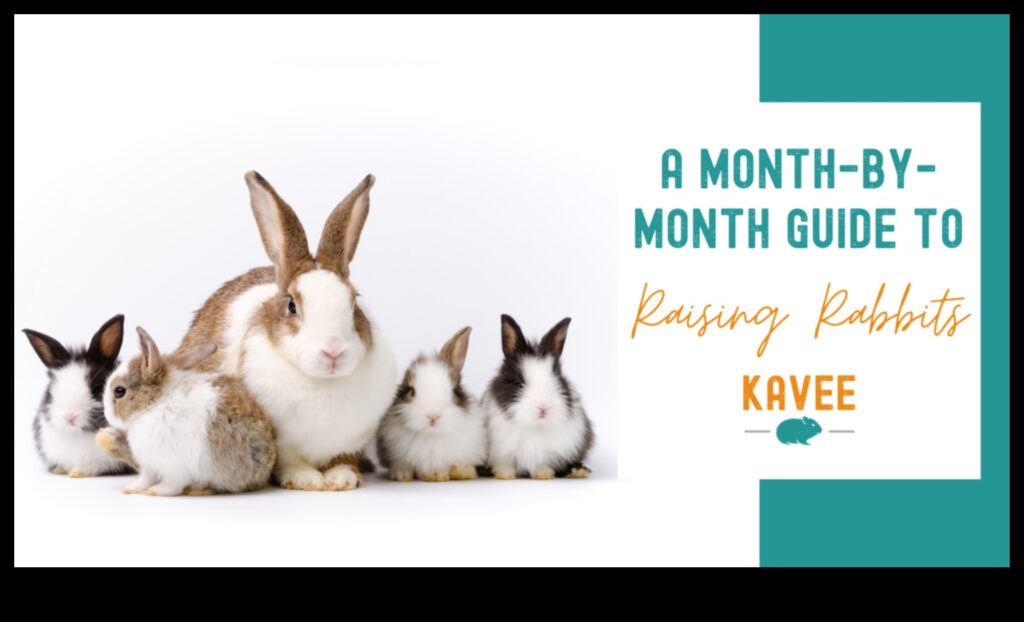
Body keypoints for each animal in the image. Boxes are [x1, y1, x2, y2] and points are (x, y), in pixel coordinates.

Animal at [102, 327, 276, 496]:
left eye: (119, 391)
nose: (107, 415)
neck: (155, 403)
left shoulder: (175, 466)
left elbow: (172, 485)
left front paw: (155, 491)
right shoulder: (149, 464)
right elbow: (146, 478)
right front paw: (131, 488)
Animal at [170, 171, 395, 491]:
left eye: (354, 302)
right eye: (291, 305)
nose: (334, 351)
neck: (324, 384)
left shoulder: (353, 439)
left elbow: (343, 458)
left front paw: (342, 479)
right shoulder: (282, 441)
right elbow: (290, 461)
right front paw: (307, 480)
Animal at [377, 327, 486, 482]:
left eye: (453, 392)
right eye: (412, 391)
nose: (433, 416)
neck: (431, 436)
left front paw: (457, 472)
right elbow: (401, 464)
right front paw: (402, 475)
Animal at [482, 315, 594, 480]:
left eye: (558, 380)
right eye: (519, 384)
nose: (543, 407)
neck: (534, 427)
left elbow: (543, 464)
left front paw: (544, 475)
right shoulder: (502, 452)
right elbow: (504, 464)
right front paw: (505, 475)